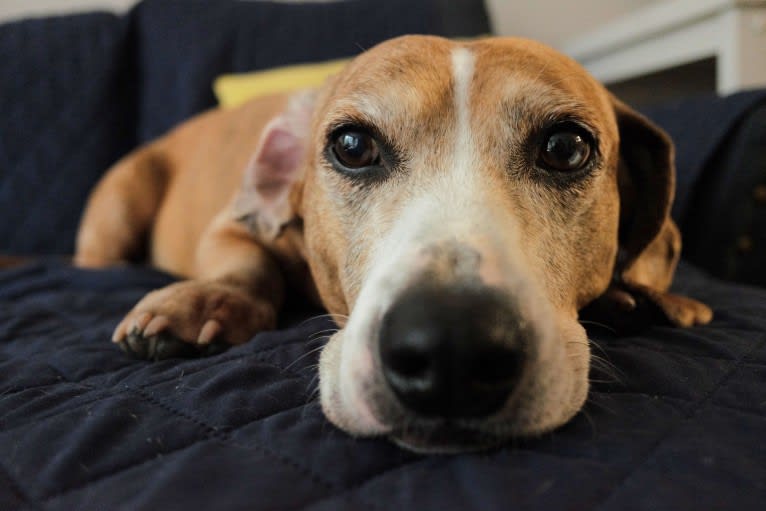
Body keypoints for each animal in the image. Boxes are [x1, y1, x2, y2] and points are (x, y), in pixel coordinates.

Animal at [73, 36, 712, 452]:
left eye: (565, 148)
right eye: (353, 145)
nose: (453, 348)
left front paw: (635, 297)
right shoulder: (233, 226)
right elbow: (246, 265)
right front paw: (205, 300)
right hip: (119, 205)